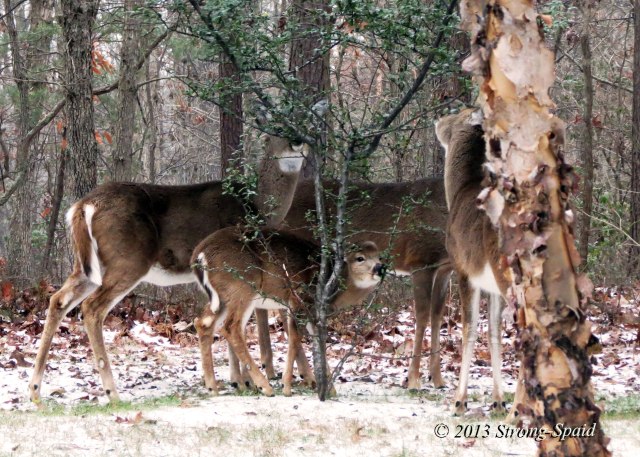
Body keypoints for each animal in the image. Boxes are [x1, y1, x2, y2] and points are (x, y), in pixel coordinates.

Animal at [28, 124, 320, 403]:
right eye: (276, 132)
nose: (297, 142)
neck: (256, 205)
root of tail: (83, 205)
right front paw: (251, 380)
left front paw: (240, 380)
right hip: (128, 260)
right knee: (92, 308)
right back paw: (112, 392)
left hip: (87, 265)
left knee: (58, 300)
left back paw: (35, 390)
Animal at [192, 227, 385, 396]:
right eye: (360, 258)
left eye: (380, 257)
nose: (379, 268)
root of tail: (199, 256)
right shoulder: (298, 300)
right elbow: (294, 339)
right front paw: (287, 387)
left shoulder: (313, 312)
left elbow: (318, 340)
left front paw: (330, 390)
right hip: (242, 286)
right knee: (231, 327)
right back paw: (264, 387)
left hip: (223, 297)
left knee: (203, 323)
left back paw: (213, 387)